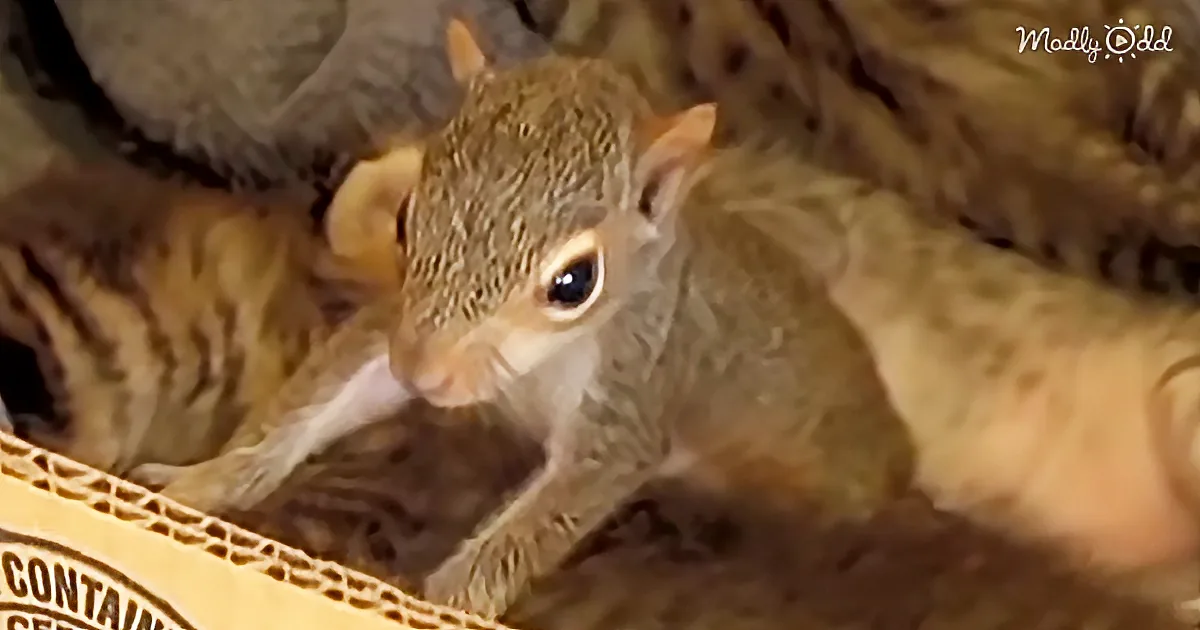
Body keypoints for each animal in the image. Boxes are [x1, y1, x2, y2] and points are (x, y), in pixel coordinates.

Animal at [132, 19, 917, 619]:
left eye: (574, 282)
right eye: (408, 219)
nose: (423, 376)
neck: (537, 369)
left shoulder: (629, 403)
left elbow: (537, 524)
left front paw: (428, 604)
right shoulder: (399, 326)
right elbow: (316, 403)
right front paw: (199, 483)